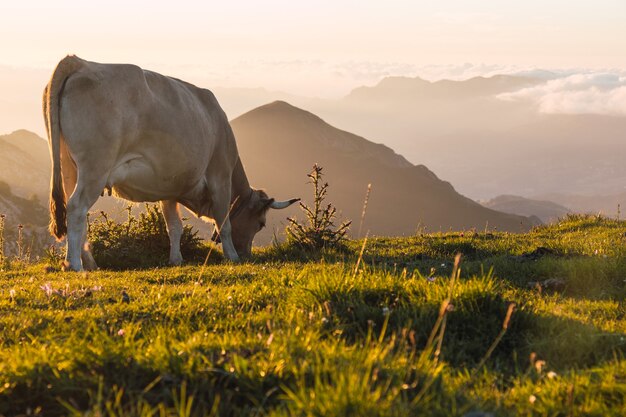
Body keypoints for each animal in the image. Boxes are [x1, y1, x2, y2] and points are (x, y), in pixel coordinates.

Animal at [43, 55, 298, 270]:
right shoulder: (220, 176)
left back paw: (89, 263)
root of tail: (80, 62)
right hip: (95, 167)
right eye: (261, 223)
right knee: (76, 207)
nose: (247, 255)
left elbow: (174, 227)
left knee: (77, 213)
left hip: (69, 167)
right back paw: (74, 264)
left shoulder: (169, 187)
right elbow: (223, 223)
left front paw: (176, 259)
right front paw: (232, 256)